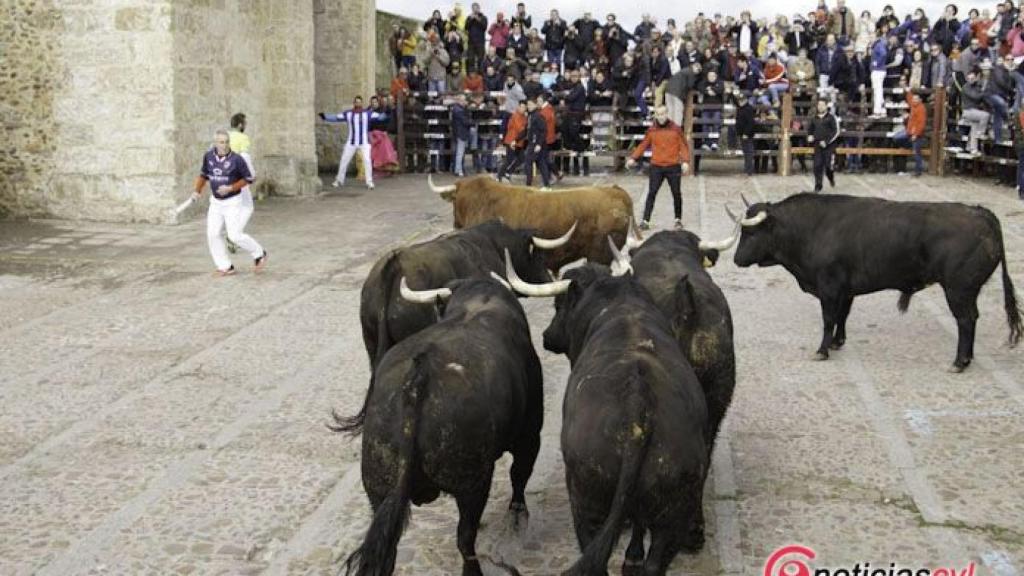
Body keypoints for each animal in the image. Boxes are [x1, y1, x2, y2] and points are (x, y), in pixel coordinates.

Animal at [733, 192, 1019, 366]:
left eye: (751, 233)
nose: (736, 259)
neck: (812, 228)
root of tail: (981, 213)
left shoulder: (829, 288)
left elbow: (828, 319)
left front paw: (822, 350)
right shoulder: (846, 290)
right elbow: (842, 316)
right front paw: (837, 342)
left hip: (958, 289)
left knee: (965, 320)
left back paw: (959, 362)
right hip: (969, 290)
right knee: (972, 318)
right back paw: (967, 358)